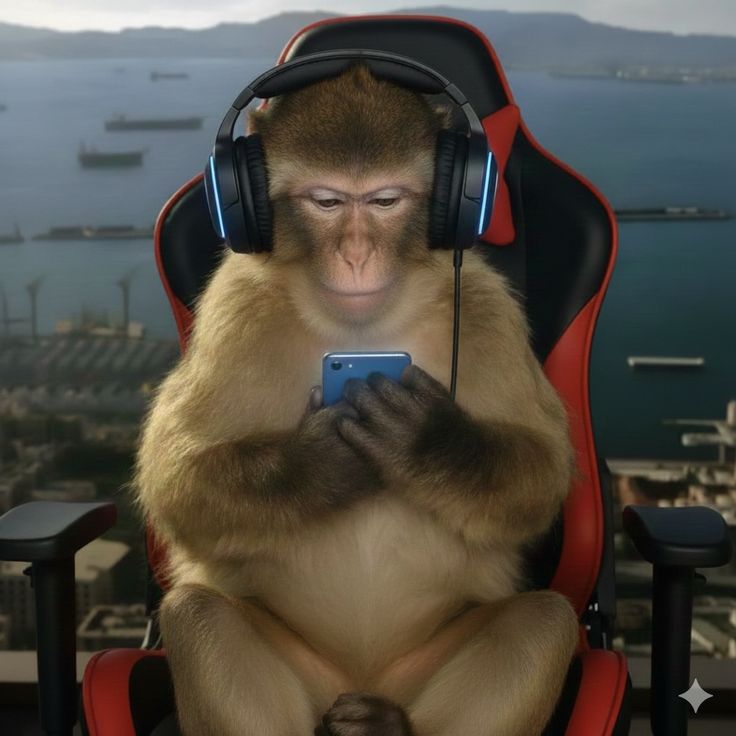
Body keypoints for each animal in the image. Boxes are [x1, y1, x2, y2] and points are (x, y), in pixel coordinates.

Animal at [134, 65, 579, 736]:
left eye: (383, 201)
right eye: (327, 202)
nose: (355, 253)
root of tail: (361, 676)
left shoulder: (485, 309)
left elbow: (542, 465)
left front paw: (429, 445)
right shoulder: (234, 306)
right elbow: (176, 479)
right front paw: (322, 461)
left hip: (417, 668)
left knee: (545, 621)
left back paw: (387, 723)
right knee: (198, 613)